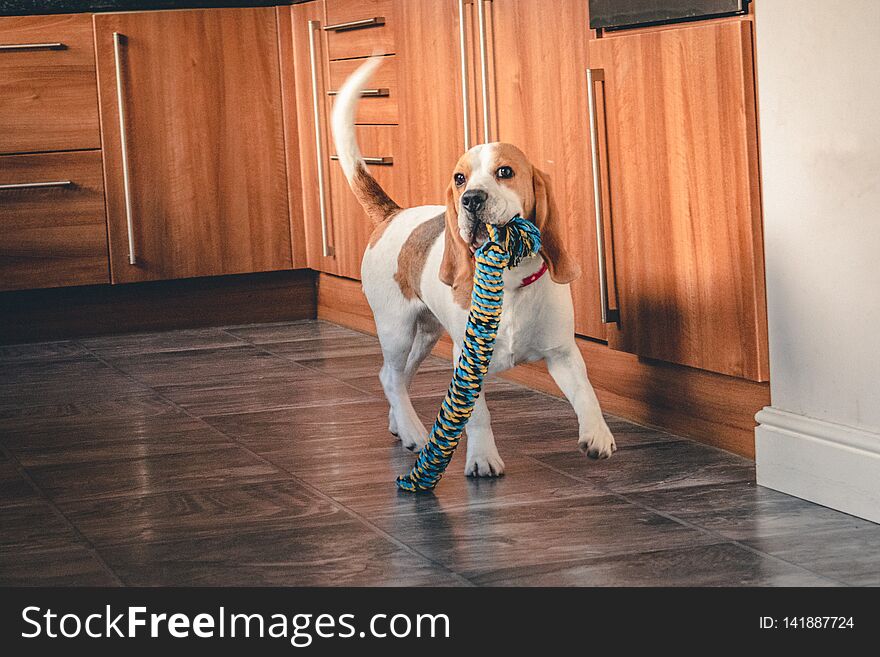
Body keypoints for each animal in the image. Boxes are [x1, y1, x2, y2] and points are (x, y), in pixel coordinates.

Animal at [330, 57, 612, 476]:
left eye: (505, 172)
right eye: (460, 178)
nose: (472, 199)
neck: (509, 284)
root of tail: (393, 214)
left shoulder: (563, 353)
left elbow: (587, 393)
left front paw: (597, 434)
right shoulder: (465, 366)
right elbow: (478, 417)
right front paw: (482, 458)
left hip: (426, 334)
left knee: (392, 377)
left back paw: (400, 423)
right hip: (396, 328)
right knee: (393, 378)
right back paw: (414, 431)